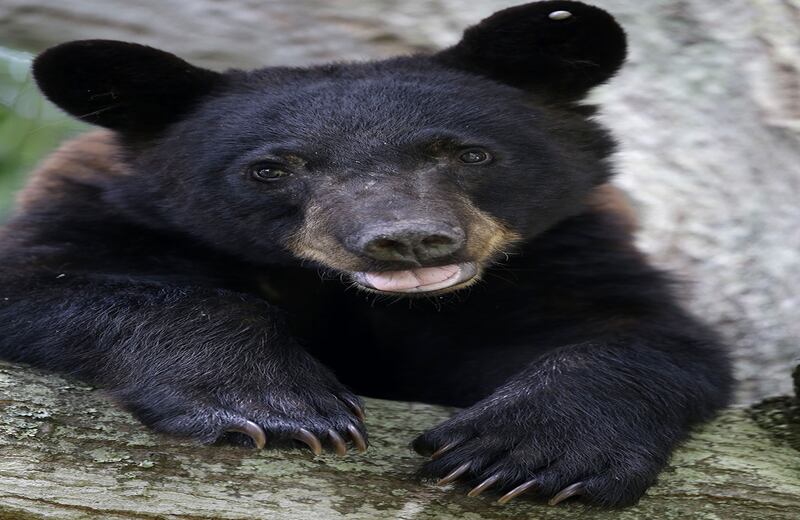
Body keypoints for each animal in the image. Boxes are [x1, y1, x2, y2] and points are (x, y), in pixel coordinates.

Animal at [0, 0, 731, 508]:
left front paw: (521, 453)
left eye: (471, 153)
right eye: (272, 169)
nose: (408, 239)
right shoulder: (102, 216)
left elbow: (640, 332)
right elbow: (53, 283)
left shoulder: (563, 250)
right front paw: (282, 409)